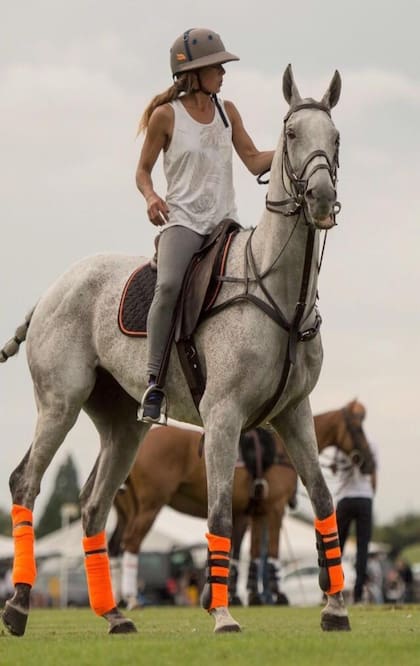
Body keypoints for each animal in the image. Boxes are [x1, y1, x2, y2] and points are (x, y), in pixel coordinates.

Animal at [109, 400, 374, 608]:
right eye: (357, 427)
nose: (369, 462)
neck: (282, 450)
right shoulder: (275, 509)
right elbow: (272, 551)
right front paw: (278, 595)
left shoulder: (256, 512)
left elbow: (253, 554)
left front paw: (250, 596)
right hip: (151, 505)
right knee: (131, 542)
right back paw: (130, 598)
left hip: (126, 510)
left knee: (115, 546)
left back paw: (117, 598)